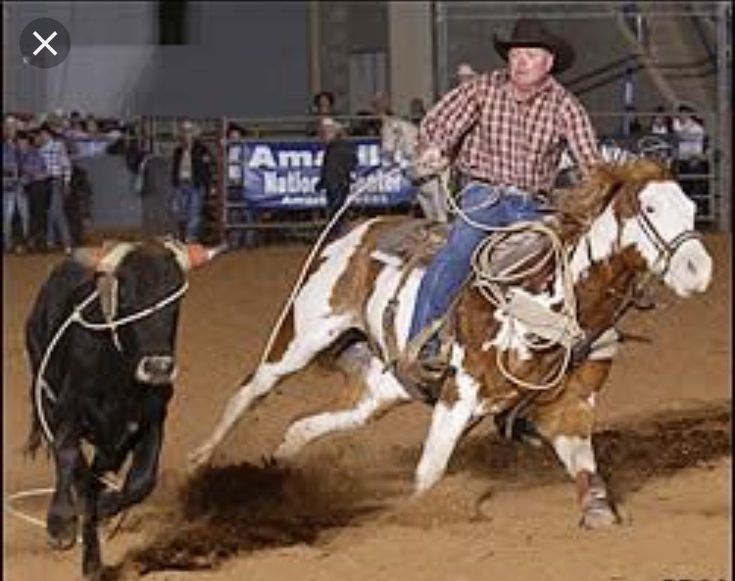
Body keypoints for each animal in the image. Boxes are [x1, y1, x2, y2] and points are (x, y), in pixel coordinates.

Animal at [190, 159, 712, 524]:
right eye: (649, 208)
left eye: (691, 208)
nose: (700, 271)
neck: (553, 299)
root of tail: (360, 228)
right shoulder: (459, 395)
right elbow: (429, 474)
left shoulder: (570, 406)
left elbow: (586, 467)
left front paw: (599, 510)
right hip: (303, 334)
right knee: (251, 389)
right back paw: (200, 461)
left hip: (381, 389)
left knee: (302, 427)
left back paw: (273, 480)